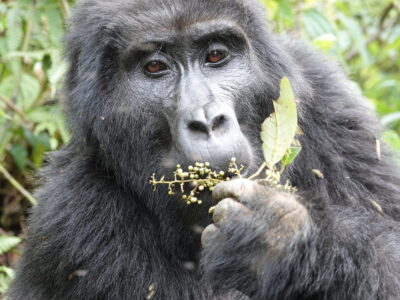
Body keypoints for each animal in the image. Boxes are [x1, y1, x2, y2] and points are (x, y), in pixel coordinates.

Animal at [7, 0, 400, 298]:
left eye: (215, 56)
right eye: (155, 67)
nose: (208, 121)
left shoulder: (331, 104)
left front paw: (286, 243)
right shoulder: (73, 219)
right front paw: (274, 242)